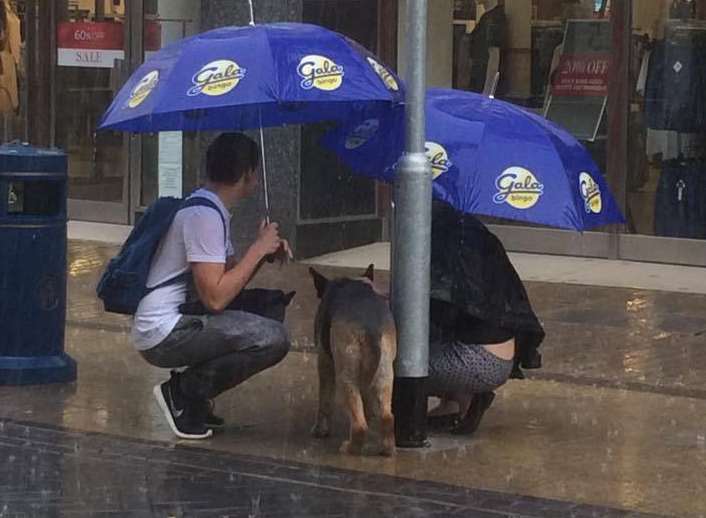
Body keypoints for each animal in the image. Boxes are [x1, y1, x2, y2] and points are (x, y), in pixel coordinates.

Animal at [308, 266, 396, 458]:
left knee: (359, 426)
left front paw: (320, 430)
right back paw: (386, 449)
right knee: (387, 417)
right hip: (385, 375)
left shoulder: (324, 363)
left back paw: (350, 449)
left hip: (345, 379)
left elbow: (324, 402)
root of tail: (370, 328)